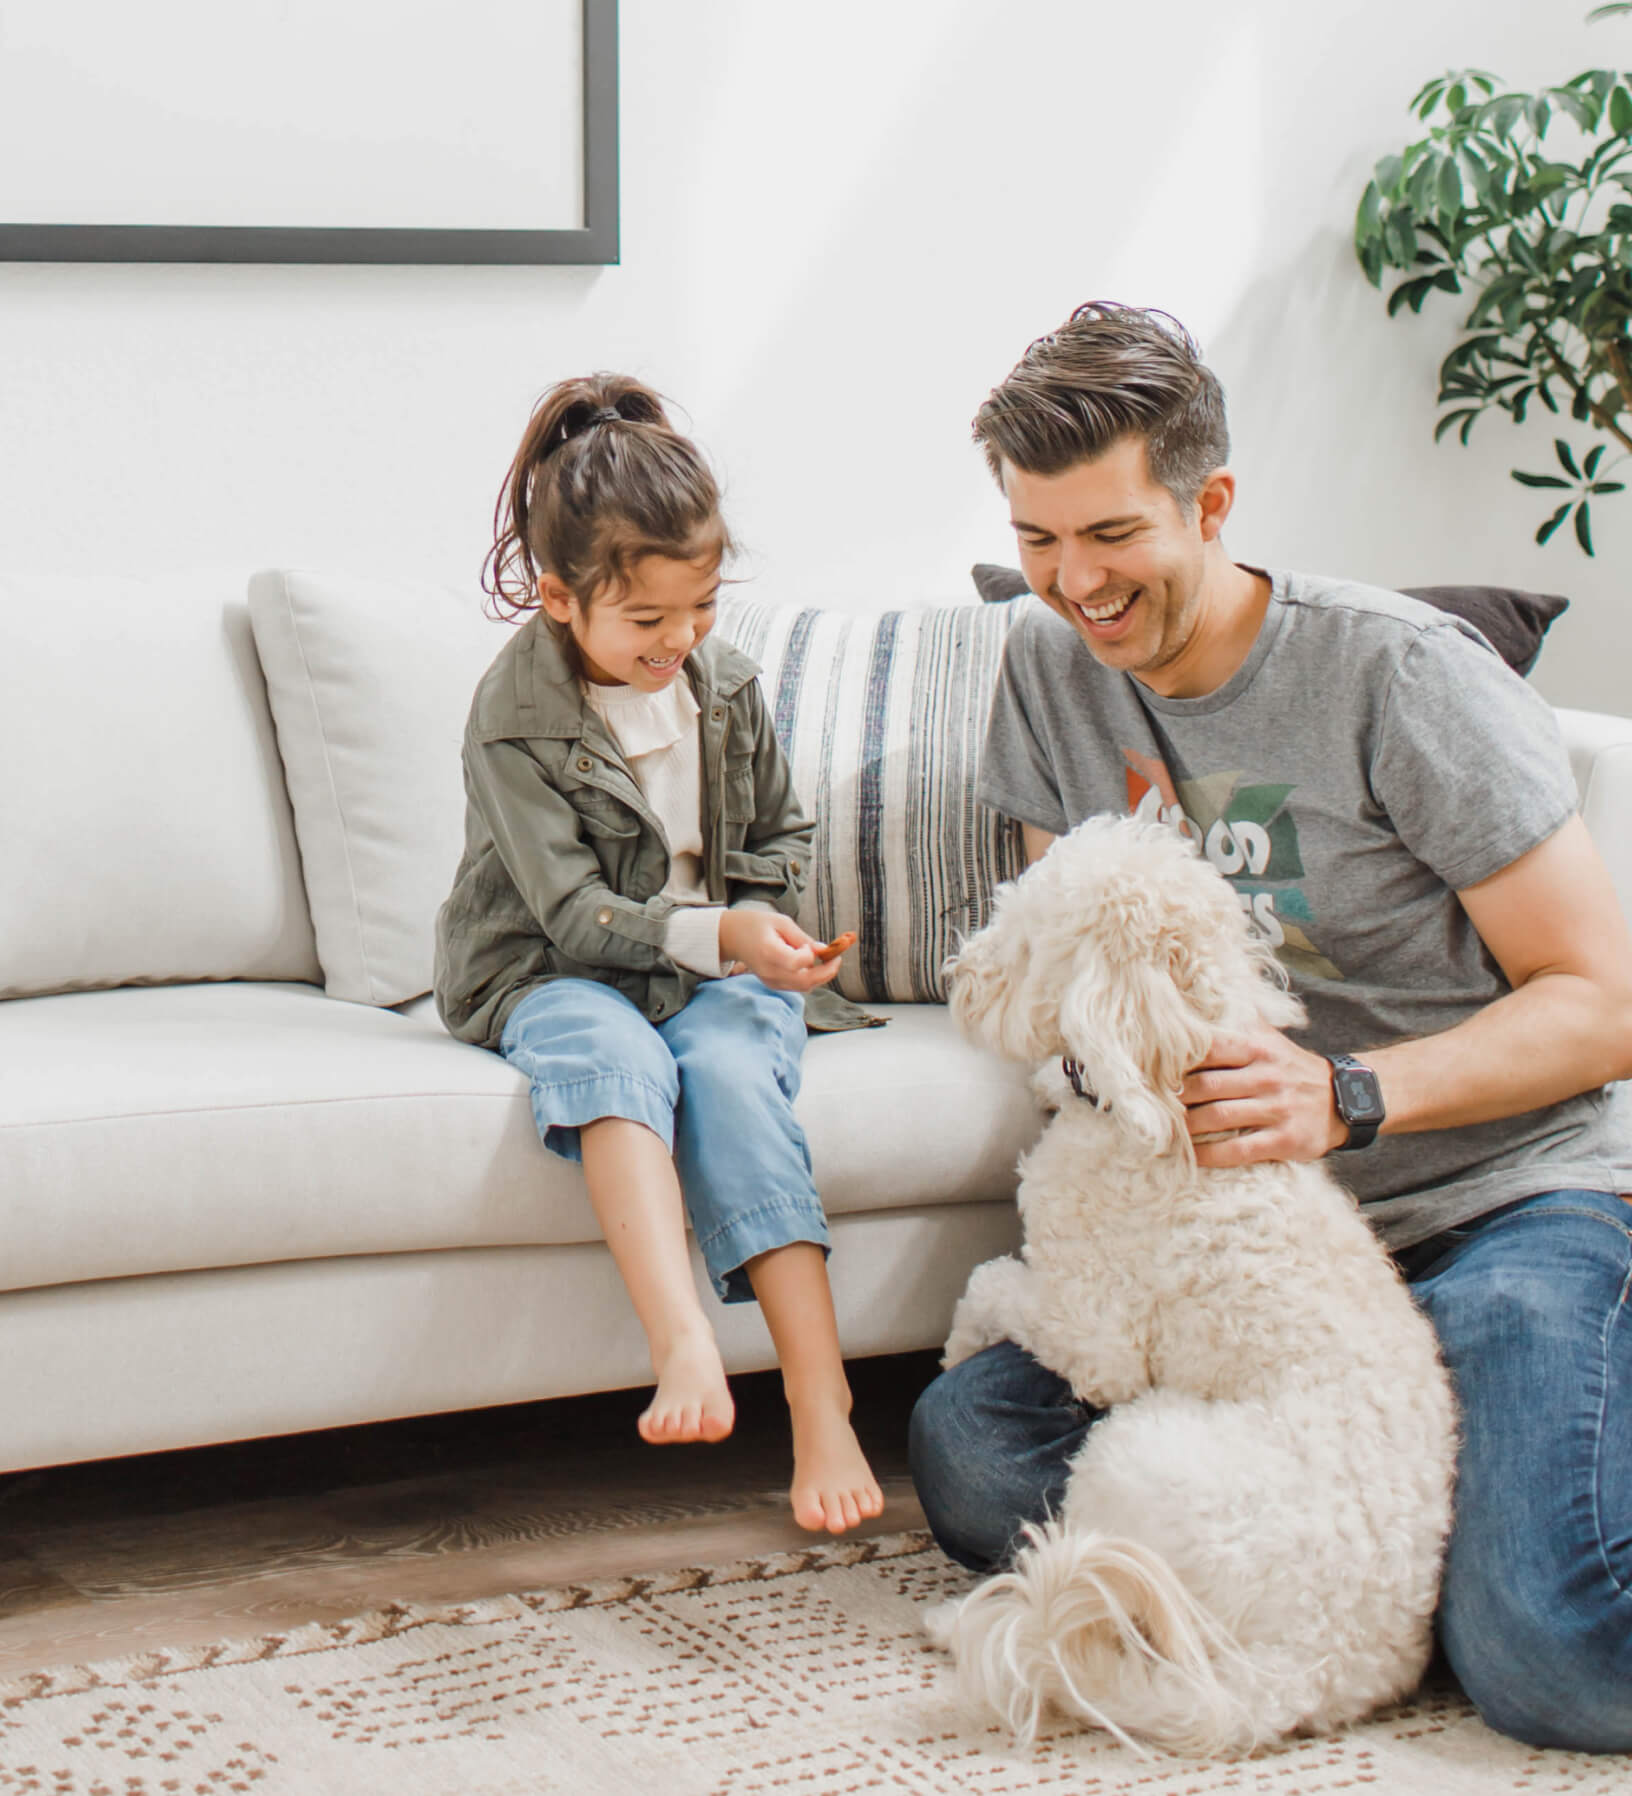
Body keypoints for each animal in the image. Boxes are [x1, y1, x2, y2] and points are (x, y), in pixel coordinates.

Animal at [933, 818, 1457, 1752]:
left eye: (1027, 942)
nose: (957, 976)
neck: (1169, 1098)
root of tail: (1304, 1670)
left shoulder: (1093, 1332)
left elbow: (991, 1281)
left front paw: (958, 1345)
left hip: (1130, 1451)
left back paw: (965, 1625)